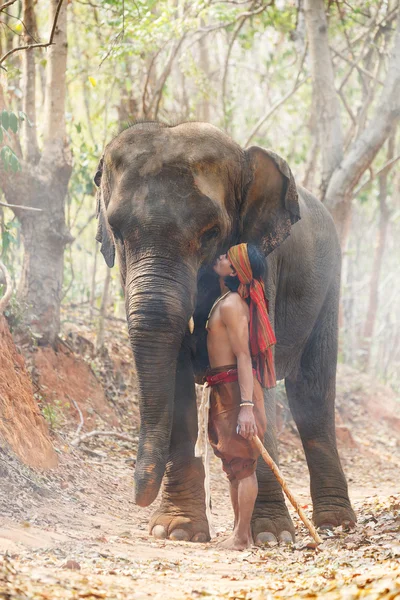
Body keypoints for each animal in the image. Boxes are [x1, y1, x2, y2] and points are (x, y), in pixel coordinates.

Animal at [94, 120, 356, 544]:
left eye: (210, 232)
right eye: (116, 231)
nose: (137, 497)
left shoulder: (263, 266)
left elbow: (256, 365)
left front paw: (272, 535)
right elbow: (176, 381)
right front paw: (175, 530)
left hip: (330, 286)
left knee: (313, 394)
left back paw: (335, 525)